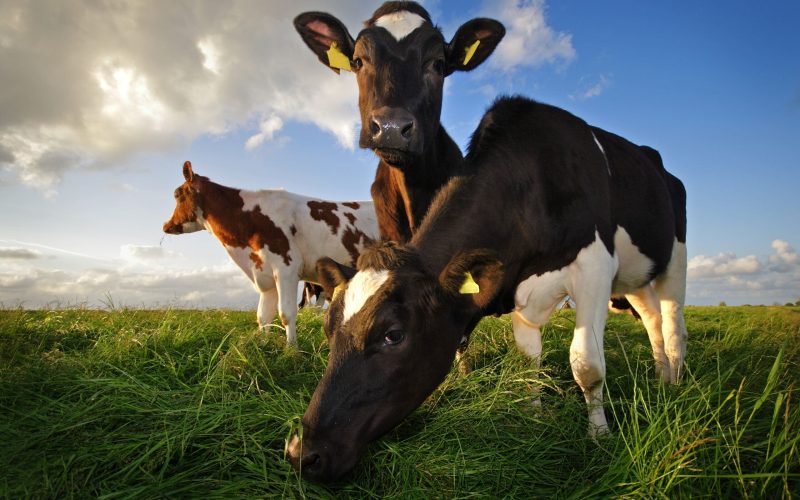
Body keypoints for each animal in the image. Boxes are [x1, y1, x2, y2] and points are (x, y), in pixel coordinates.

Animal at [162, 161, 378, 346]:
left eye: (177, 194)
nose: (166, 225)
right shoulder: (264, 273)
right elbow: (263, 316)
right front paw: (262, 346)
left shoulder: (286, 268)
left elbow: (286, 313)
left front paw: (291, 350)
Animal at [286, 96, 688, 482]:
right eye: (327, 329)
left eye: (393, 335)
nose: (302, 453)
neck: (531, 183)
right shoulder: (522, 293)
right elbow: (528, 362)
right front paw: (534, 419)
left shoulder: (595, 266)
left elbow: (586, 364)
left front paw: (599, 438)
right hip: (636, 278)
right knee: (651, 319)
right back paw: (660, 377)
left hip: (674, 259)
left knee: (671, 324)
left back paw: (676, 383)